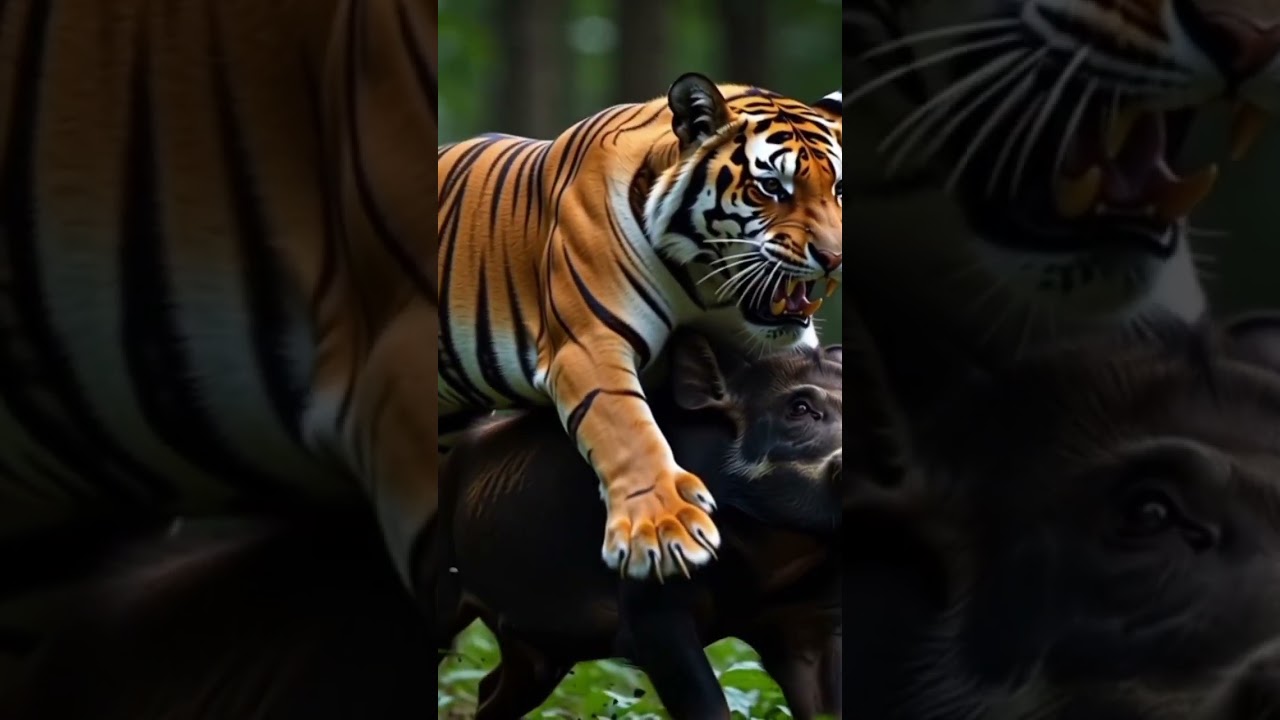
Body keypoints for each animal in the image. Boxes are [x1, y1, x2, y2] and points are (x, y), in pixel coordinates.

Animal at [437, 74, 843, 581]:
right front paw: (665, 530)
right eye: (771, 187)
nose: (835, 257)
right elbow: (628, 430)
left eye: (838, 188)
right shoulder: (588, 346)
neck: (704, 285)